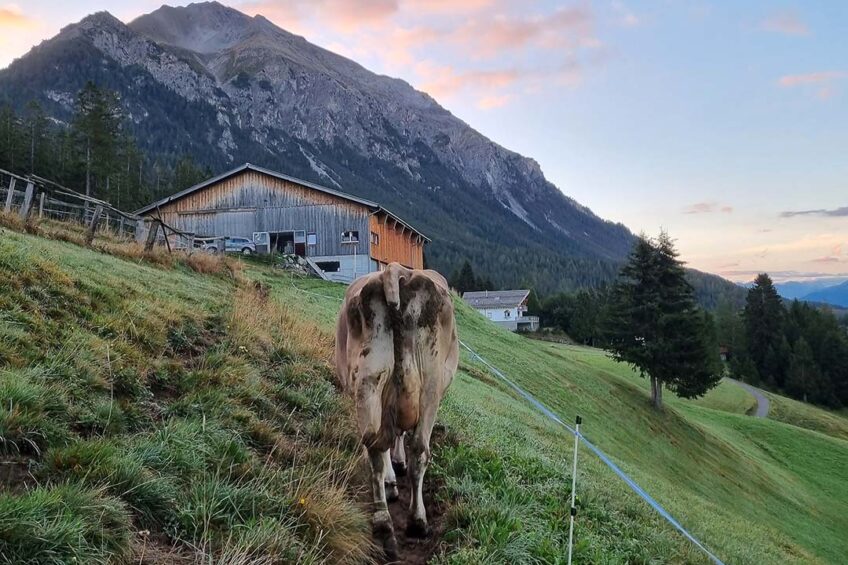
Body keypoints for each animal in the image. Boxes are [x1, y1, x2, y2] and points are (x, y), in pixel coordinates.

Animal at [334, 262, 460, 556]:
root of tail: (394, 271)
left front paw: (393, 479)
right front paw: (398, 470)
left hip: (368, 379)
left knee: (375, 449)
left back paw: (384, 525)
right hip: (431, 386)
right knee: (418, 451)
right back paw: (417, 521)